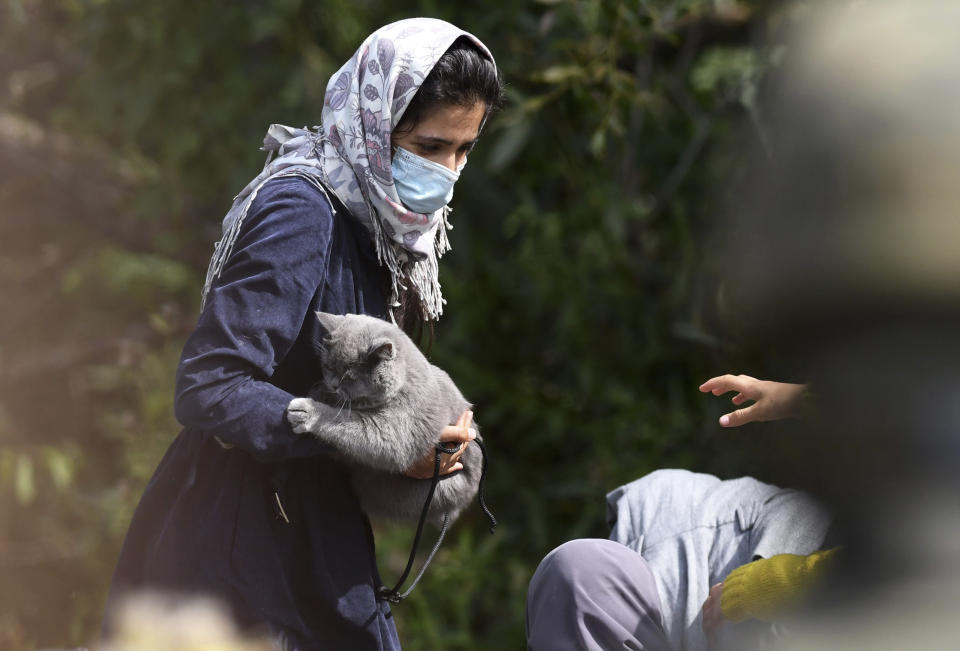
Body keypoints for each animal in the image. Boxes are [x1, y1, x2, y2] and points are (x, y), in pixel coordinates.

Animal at [282, 310, 484, 528]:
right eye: (328, 367)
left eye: (350, 376)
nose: (334, 385)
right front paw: (319, 392)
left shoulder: (395, 430)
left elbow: (346, 420)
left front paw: (307, 411)